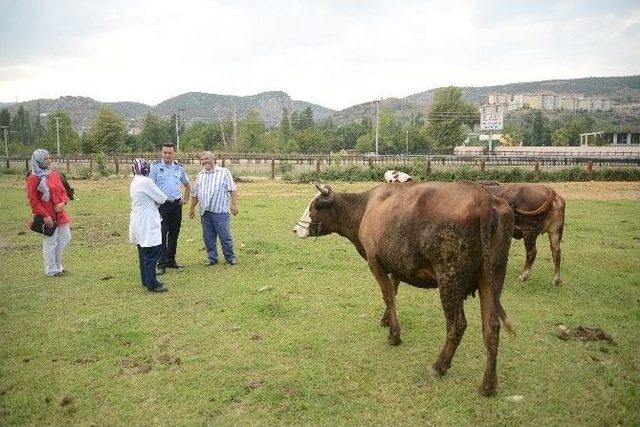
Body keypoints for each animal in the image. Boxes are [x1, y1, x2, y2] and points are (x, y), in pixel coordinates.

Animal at [296, 182, 516, 396]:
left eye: (315, 206)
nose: (296, 230)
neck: (365, 207)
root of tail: (483, 196)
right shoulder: (395, 264)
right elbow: (392, 291)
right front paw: (386, 320)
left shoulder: (374, 260)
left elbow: (388, 296)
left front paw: (394, 335)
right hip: (492, 277)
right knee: (491, 326)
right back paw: (488, 384)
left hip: (450, 277)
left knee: (457, 324)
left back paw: (440, 366)